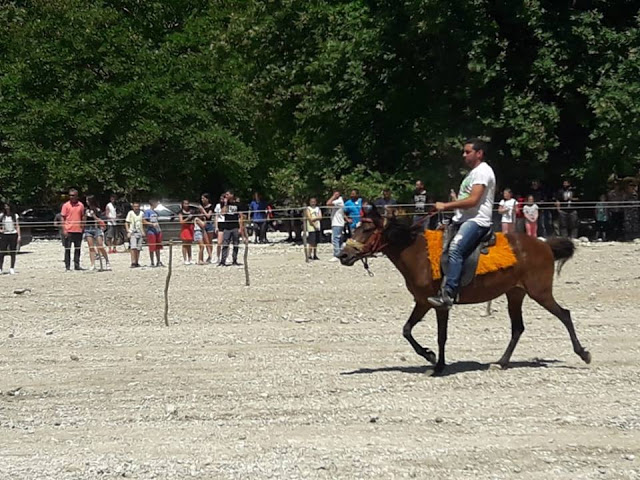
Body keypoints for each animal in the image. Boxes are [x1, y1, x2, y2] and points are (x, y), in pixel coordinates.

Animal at [338, 208, 592, 376]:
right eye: (356, 227)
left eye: (367, 229)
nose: (343, 254)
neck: (418, 254)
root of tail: (544, 245)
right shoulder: (422, 302)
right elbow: (407, 330)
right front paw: (429, 356)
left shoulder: (439, 304)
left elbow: (441, 336)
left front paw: (438, 365)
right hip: (515, 293)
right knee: (518, 328)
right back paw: (501, 362)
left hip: (540, 292)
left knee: (564, 314)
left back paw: (583, 353)